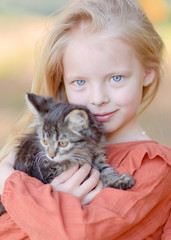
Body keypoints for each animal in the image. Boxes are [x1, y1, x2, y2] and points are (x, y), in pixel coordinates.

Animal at [0, 93, 135, 215]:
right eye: (44, 141)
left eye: (63, 143)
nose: (51, 155)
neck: (82, 153)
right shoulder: (48, 172)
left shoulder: (97, 157)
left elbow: (106, 170)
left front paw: (118, 180)